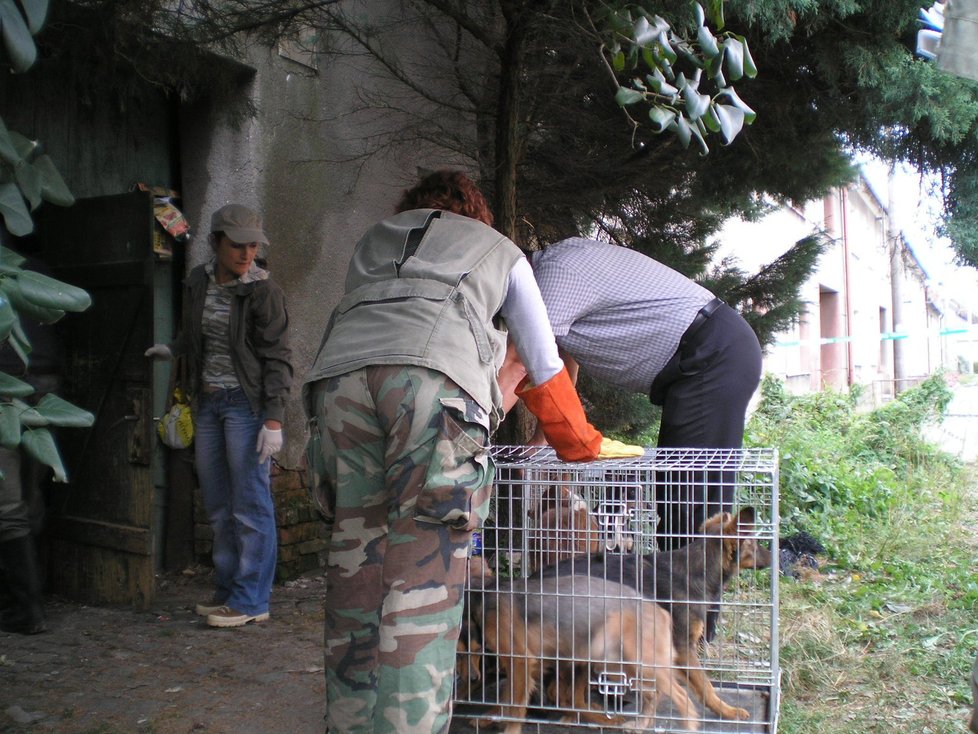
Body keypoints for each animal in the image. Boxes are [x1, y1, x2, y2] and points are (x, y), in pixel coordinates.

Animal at [464, 576, 692, 734]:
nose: (471, 678)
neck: (482, 598)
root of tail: (661, 611)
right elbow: (507, 699)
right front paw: (487, 718)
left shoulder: (520, 660)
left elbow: (515, 706)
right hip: (623, 667)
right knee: (654, 694)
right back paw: (640, 724)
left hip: (631, 663)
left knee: (683, 698)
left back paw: (688, 725)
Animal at [536, 508, 768, 720]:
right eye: (754, 544)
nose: (772, 559)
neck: (697, 569)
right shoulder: (683, 647)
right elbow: (705, 686)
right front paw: (727, 711)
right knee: (567, 697)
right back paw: (605, 719)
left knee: (557, 692)